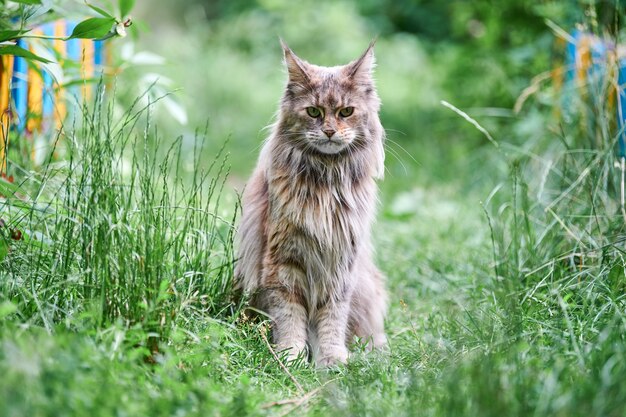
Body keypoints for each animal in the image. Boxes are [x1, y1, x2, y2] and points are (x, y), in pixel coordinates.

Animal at [234, 40, 386, 366]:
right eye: (314, 112)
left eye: (346, 112)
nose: (329, 131)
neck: (326, 182)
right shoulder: (283, 262)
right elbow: (289, 316)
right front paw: (290, 356)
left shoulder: (340, 263)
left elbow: (332, 317)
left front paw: (331, 359)